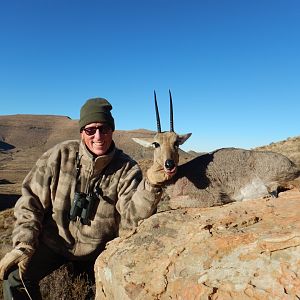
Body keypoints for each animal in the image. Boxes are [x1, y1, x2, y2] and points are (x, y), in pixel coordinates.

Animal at [134, 91, 300, 209]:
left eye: (176, 143)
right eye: (156, 144)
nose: (169, 164)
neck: (180, 177)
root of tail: (293, 165)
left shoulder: (210, 197)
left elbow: (172, 203)